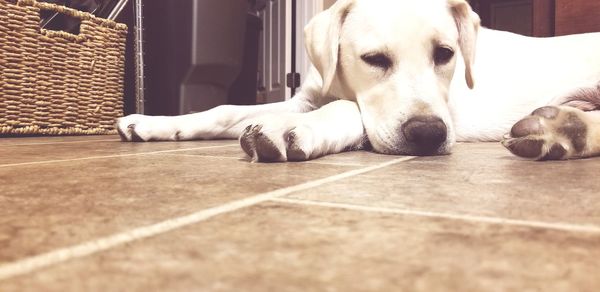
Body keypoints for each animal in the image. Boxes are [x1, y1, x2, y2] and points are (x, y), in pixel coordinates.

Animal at [116, 0, 600, 162]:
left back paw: (559, 131)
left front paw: (292, 131)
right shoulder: (302, 97)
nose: (429, 135)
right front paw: (155, 123)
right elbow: (223, 109)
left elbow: (348, 109)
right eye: (374, 59)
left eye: (445, 54)